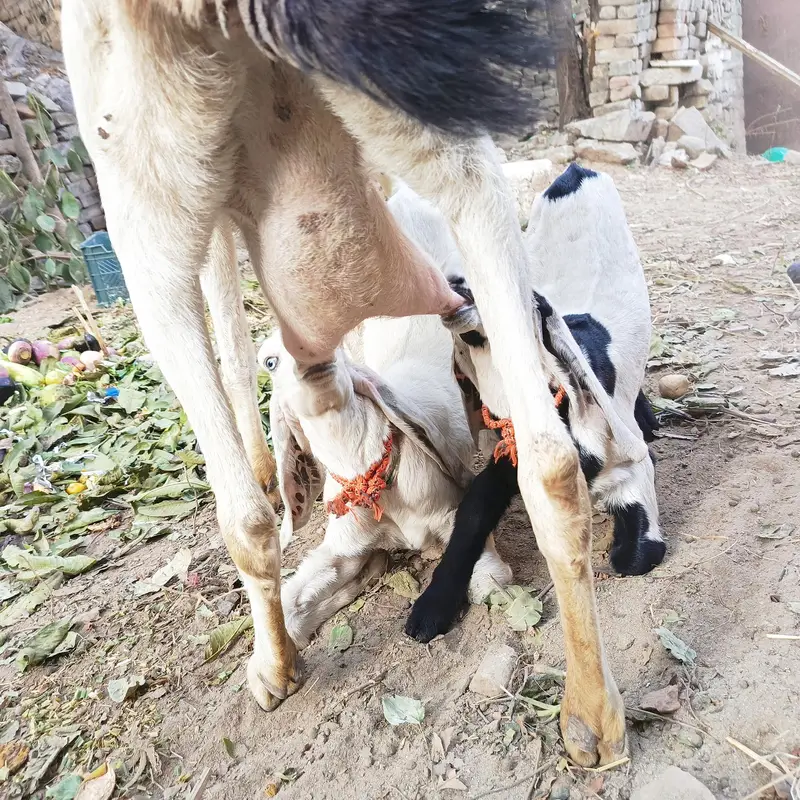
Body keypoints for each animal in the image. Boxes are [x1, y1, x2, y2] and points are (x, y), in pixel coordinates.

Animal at [261, 309, 511, 648]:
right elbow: (288, 613)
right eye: (269, 362)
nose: (310, 358)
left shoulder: (449, 512)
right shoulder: (345, 547)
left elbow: (487, 577)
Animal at [405, 163, 664, 651]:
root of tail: (576, 170)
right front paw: (431, 608)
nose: (455, 283)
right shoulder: (511, 458)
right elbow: (472, 511)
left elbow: (639, 556)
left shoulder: (633, 468)